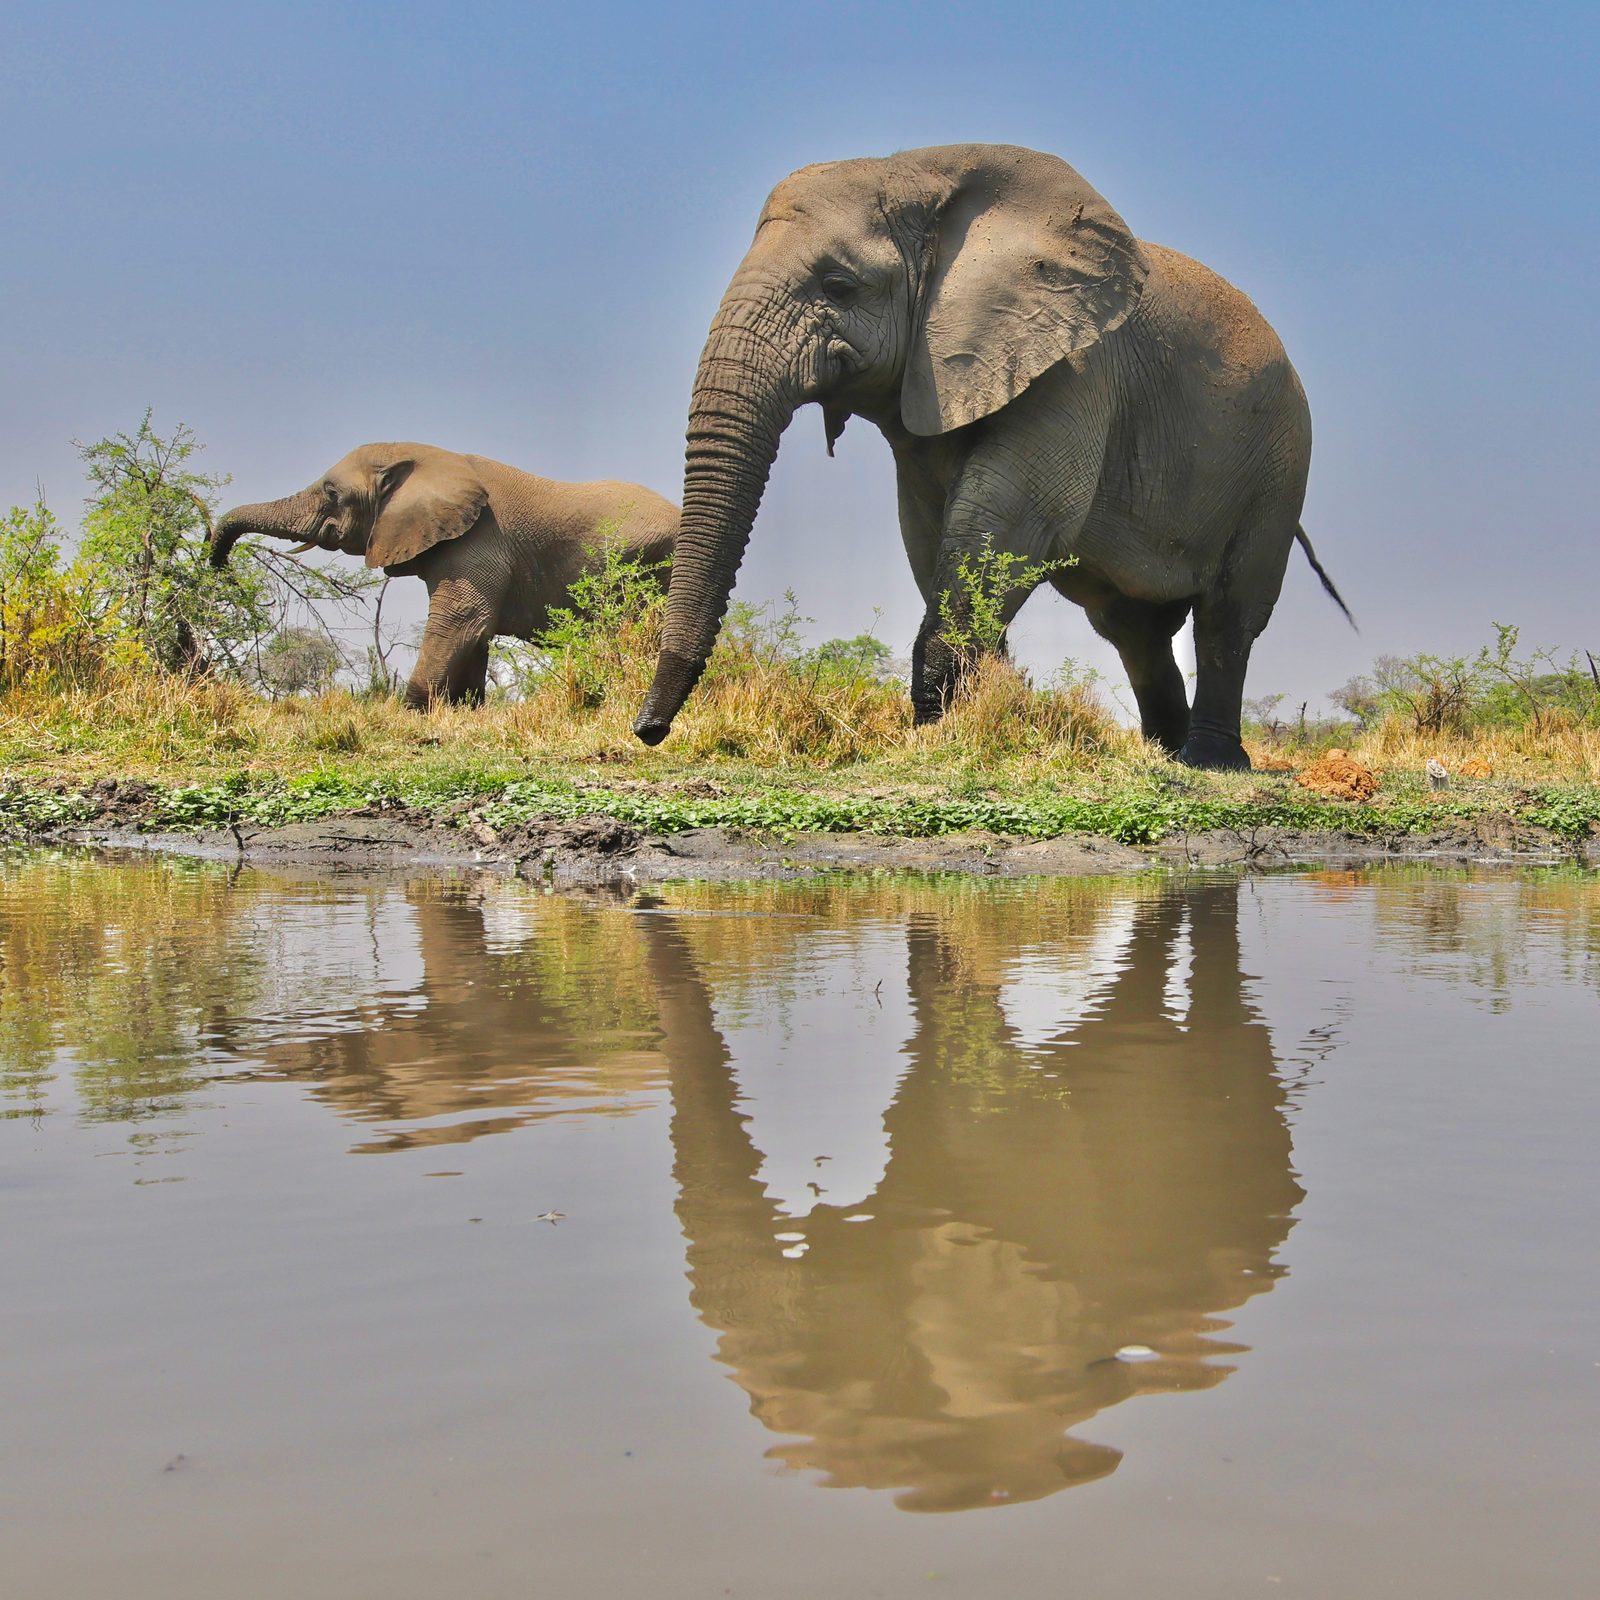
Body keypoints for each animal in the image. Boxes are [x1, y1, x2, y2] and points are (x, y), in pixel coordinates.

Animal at [211, 442, 678, 707]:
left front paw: (411, 711)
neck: (429, 460)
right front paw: (463, 710)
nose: (220, 570)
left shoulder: (480, 540)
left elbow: (462, 619)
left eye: (331, 493)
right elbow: (474, 632)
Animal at [634, 143, 1351, 769]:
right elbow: (930, 534)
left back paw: (1211, 761)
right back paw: (1164, 752)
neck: (920, 172)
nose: (648, 730)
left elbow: (1009, 523)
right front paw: (974, 714)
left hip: (1281, 461)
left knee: (1230, 614)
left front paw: (934, 731)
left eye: (839, 285)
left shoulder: (1076, 369)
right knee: (1132, 628)